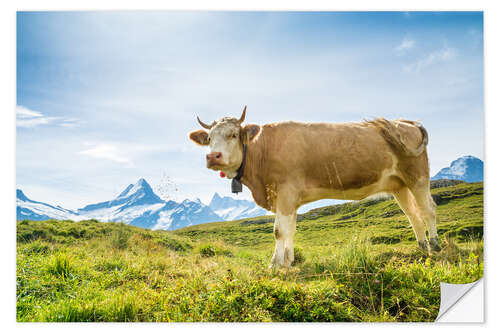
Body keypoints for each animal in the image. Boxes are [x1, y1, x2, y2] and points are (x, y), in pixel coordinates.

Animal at [188, 106, 442, 268]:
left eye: (232, 134)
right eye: (209, 139)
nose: (213, 156)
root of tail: (406, 122)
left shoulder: (286, 193)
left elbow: (279, 230)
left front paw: (275, 264)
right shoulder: (289, 199)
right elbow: (290, 229)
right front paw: (288, 260)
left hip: (417, 176)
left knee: (428, 210)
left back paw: (435, 246)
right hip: (399, 184)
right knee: (412, 214)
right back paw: (422, 247)